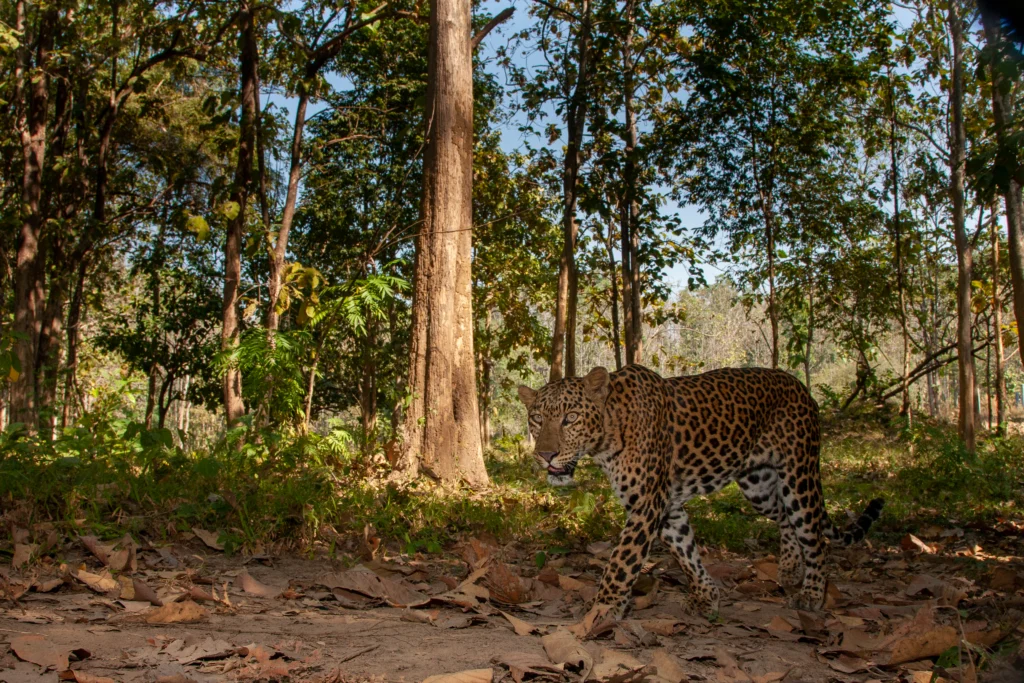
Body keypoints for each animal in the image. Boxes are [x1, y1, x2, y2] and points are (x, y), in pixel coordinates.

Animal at [517, 364, 884, 618]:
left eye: (570, 418)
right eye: (537, 419)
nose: (545, 454)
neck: (609, 431)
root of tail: (801, 387)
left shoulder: (647, 505)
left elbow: (622, 562)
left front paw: (602, 609)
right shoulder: (664, 506)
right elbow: (686, 552)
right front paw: (707, 596)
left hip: (799, 474)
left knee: (815, 536)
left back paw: (812, 594)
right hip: (759, 486)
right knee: (784, 517)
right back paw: (791, 568)